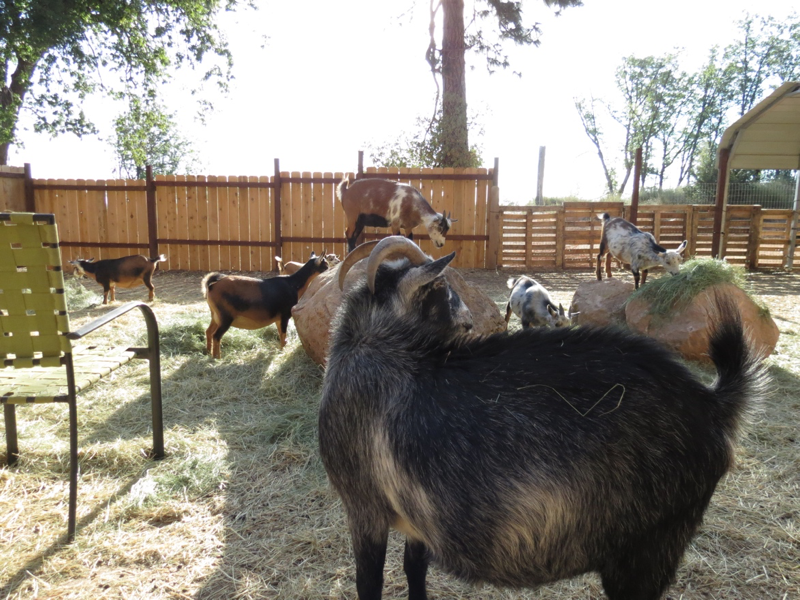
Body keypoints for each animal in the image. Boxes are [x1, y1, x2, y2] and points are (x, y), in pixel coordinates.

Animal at [202, 252, 330, 358]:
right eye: (326, 265)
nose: (330, 269)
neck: (293, 284)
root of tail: (212, 285)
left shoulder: (278, 318)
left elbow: (281, 334)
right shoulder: (284, 315)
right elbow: (283, 335)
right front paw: (282, 350)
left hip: (215, 315)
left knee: (208, 331)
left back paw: (207, 352)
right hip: (225, 317)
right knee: (216, 336)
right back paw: (217, 358)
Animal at [318, 234, 764, 600]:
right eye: (441, 289)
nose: (468, 321)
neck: (382, 344)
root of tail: (711, 402)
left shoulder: (364, 507)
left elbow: (370, 583)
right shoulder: (412, 522)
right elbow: (413, 570)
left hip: (649, 549)